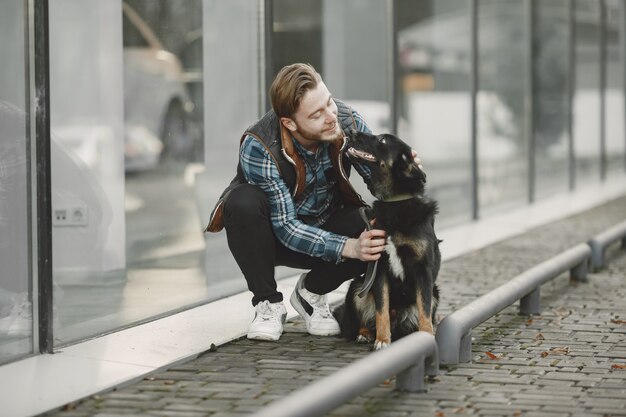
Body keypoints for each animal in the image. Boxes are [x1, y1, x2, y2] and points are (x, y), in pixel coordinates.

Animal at [332, 129, 438, 348]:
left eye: (381, 140)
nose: (350, 131)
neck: (395, 202)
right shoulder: (378, 268)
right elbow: (381, 311)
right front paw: (382, 340)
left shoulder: (423, 270)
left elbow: (424, 309)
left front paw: (426, 336)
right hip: (357, 287)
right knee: (363, 319)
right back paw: (365, 333)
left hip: (436, 292)